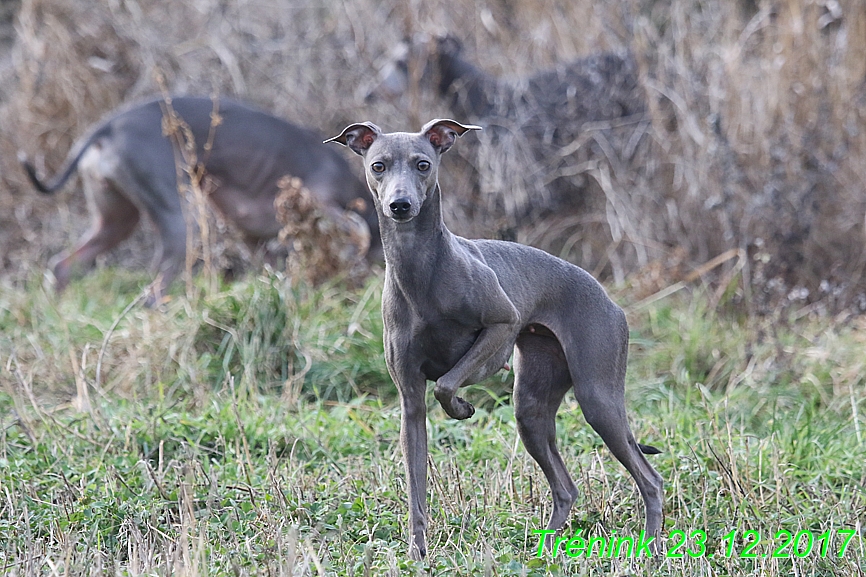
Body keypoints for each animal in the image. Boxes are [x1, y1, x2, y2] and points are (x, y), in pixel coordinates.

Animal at [326, 118, 660, 560]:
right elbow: (416, 488)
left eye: (422, 164)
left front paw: (462, 408)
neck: (421, 271)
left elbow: (447, 382)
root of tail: (611, 301)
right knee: (566, 488)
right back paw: (542, 551)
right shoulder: (410, 403)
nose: (400, 205)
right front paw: (417, 553)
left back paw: (653, 549)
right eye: (378, 166)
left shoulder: (502, 324)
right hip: (531, 408)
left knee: (649, 478)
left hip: (598, 397)